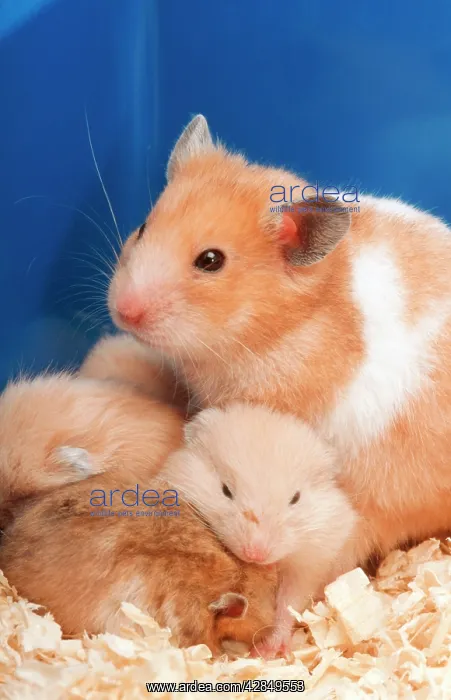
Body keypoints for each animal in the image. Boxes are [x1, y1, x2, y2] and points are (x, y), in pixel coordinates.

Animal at [161, 402, 357, 657]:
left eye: (295, 498)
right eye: (226, 490)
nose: (256, 554)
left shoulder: (309, 563)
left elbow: (288, 605)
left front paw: (266, 651)